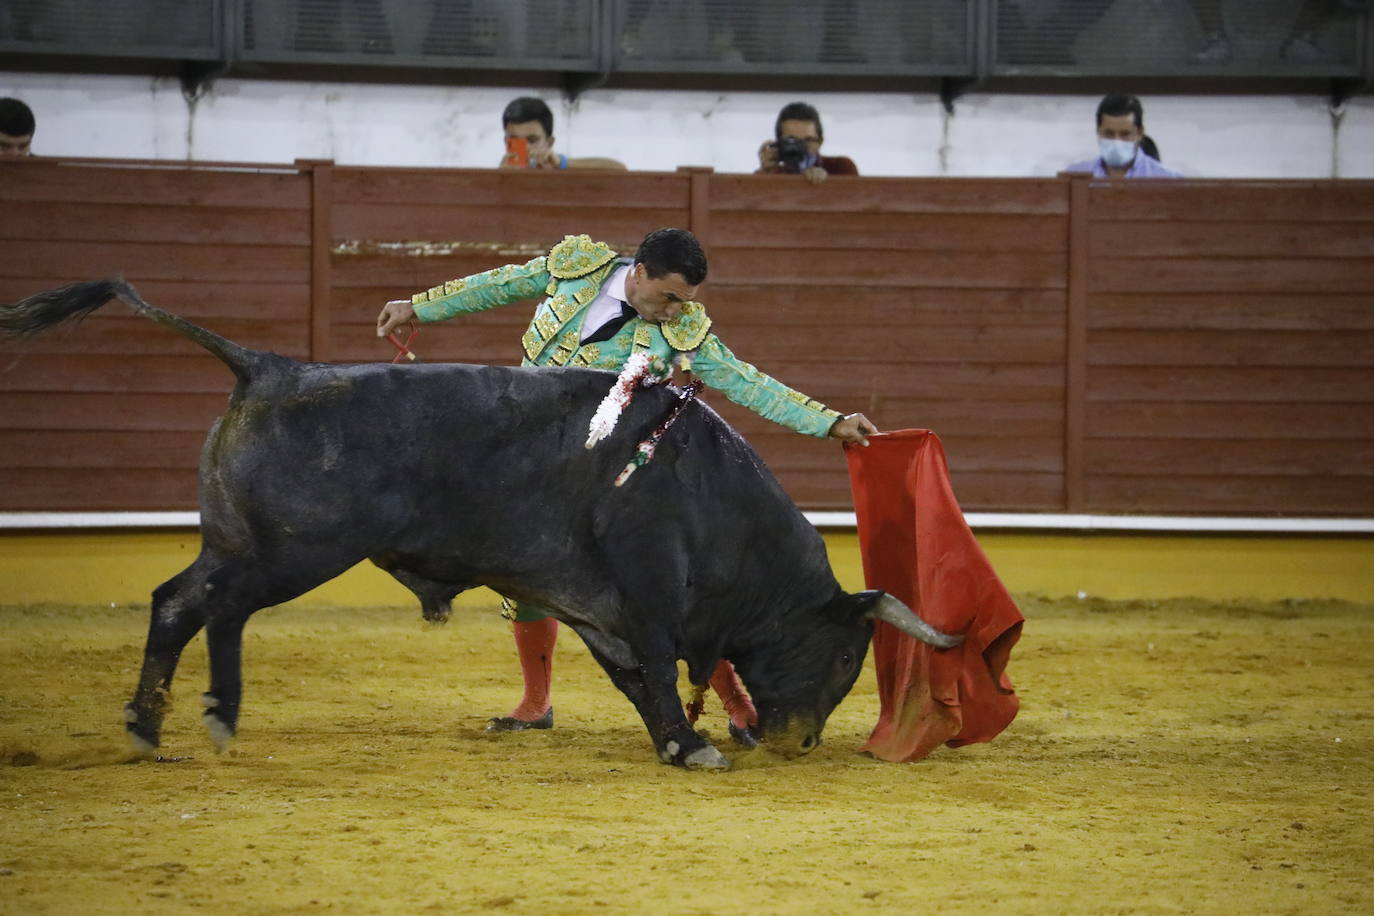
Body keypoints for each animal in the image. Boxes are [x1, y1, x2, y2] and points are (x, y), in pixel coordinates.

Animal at [0, 282, 961, 769]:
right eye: (846, 657)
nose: (800, 743)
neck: (713, 496)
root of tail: (270, 366)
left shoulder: (592, 602)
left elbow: (632, 676)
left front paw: (675, 739)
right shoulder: (649, 587)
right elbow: (656, 663)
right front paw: (692, 745)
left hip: (236, 541)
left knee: (175, 602)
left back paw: (147, 728)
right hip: (295, 552)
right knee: (223, 610)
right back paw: (216, 716)